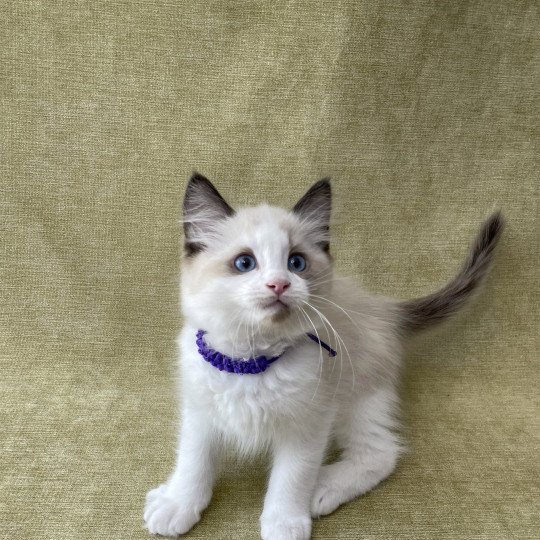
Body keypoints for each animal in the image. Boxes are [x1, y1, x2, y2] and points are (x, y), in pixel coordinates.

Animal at [143, 174, 502, 540]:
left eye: (296, 263)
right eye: (245, 263)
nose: (279, 285)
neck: (251, 363)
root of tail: (383, 308)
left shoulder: (308, 422)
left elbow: (291, 478)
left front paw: (284, 522)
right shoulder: (200, 411)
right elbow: (193, 462)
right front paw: (178, 503)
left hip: (357, 401)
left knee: (381, 454)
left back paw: (323, 486)